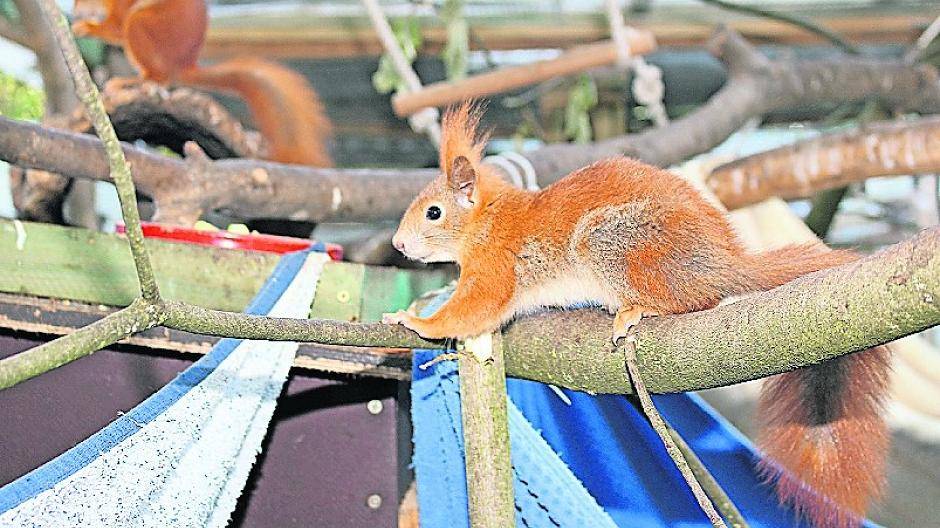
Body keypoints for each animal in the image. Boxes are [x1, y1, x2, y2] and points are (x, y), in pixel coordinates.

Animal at [71, 0, 332, 166]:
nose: (76, 11)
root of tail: (184, 66)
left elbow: (115, 27)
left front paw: (85, 27)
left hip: (147, 26)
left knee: (156, 72)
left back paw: (131, 81)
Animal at [384, 103, 890, 528]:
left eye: (433, 213)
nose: (398, 244)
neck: (486, 220)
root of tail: (722, 261)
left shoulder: (494, 268)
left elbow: (475, 308)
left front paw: (414, 322)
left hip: (616, 241)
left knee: (698, 298)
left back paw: (637, 309)